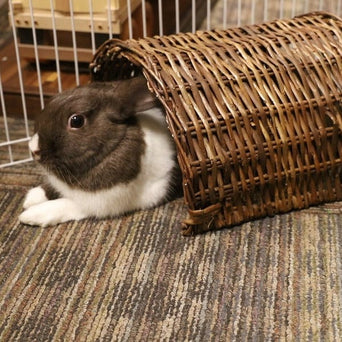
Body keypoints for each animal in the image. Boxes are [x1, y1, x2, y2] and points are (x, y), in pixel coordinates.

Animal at [19, 77, 182, 227]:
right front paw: (31, 198)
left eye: (76, 121)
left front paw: (30, 215)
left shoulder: (97, 204)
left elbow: (63, 205)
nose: (33, 149)